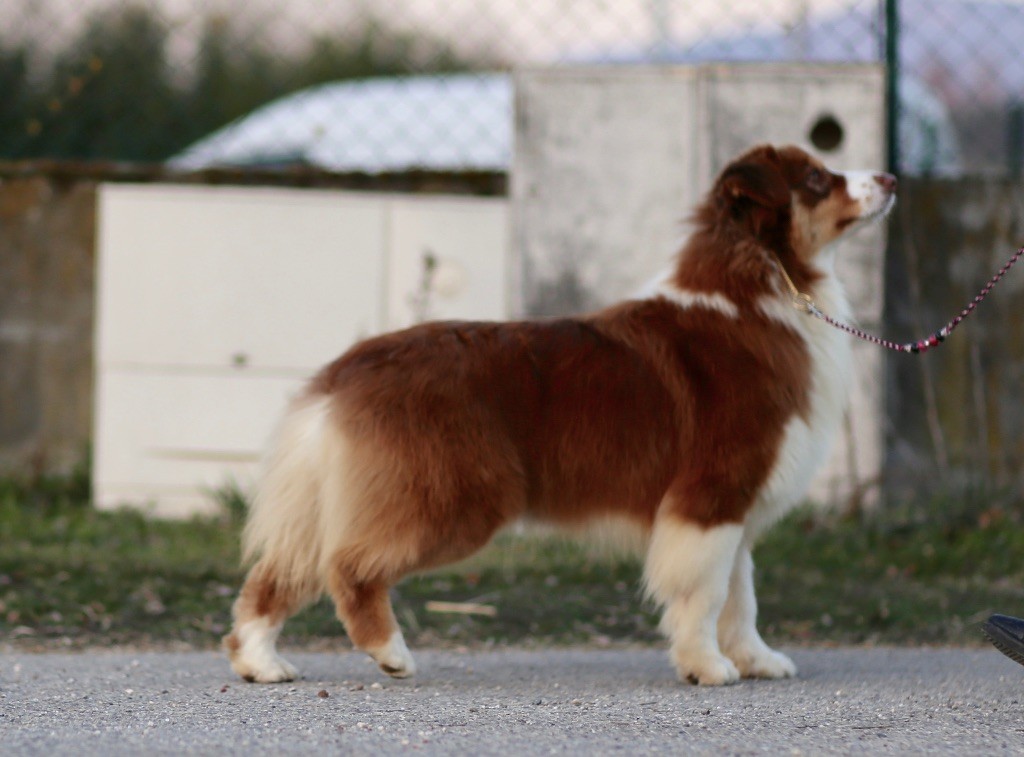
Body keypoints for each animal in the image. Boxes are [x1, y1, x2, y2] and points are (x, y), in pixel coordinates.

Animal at [224, 144, 896, 686]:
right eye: (818, 178)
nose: (891, 177)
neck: (761, 287)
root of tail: (344, 371)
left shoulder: (736, 505)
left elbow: (741, 594)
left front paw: (756, 660)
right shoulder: (710, 495)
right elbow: (705, 593)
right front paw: (706, 667)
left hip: (349, 494)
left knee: (280, 573)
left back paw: (261, 661)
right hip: (451, 494)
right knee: (347, 566)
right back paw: (390, 652)